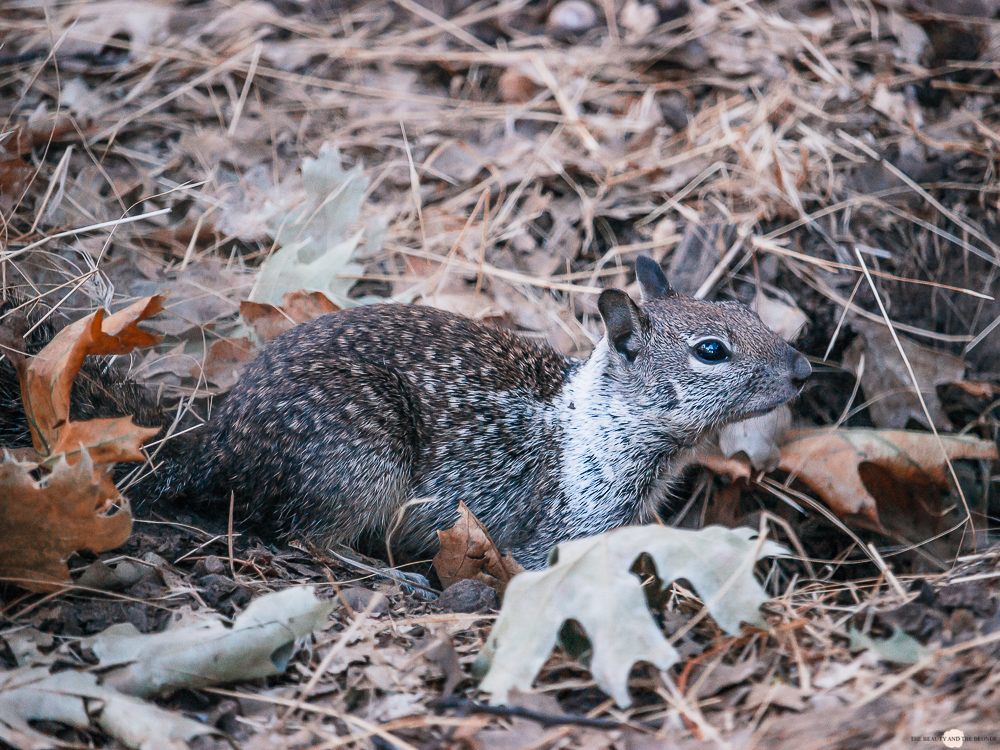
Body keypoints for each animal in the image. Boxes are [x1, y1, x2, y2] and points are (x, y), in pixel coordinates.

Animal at [0, 258, 808, 568]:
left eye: (745, 309)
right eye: (711, 350)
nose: (804, 368)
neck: (598, 423)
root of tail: (215, 441)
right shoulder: (565, 525)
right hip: (364, 465)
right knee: (304, 536)